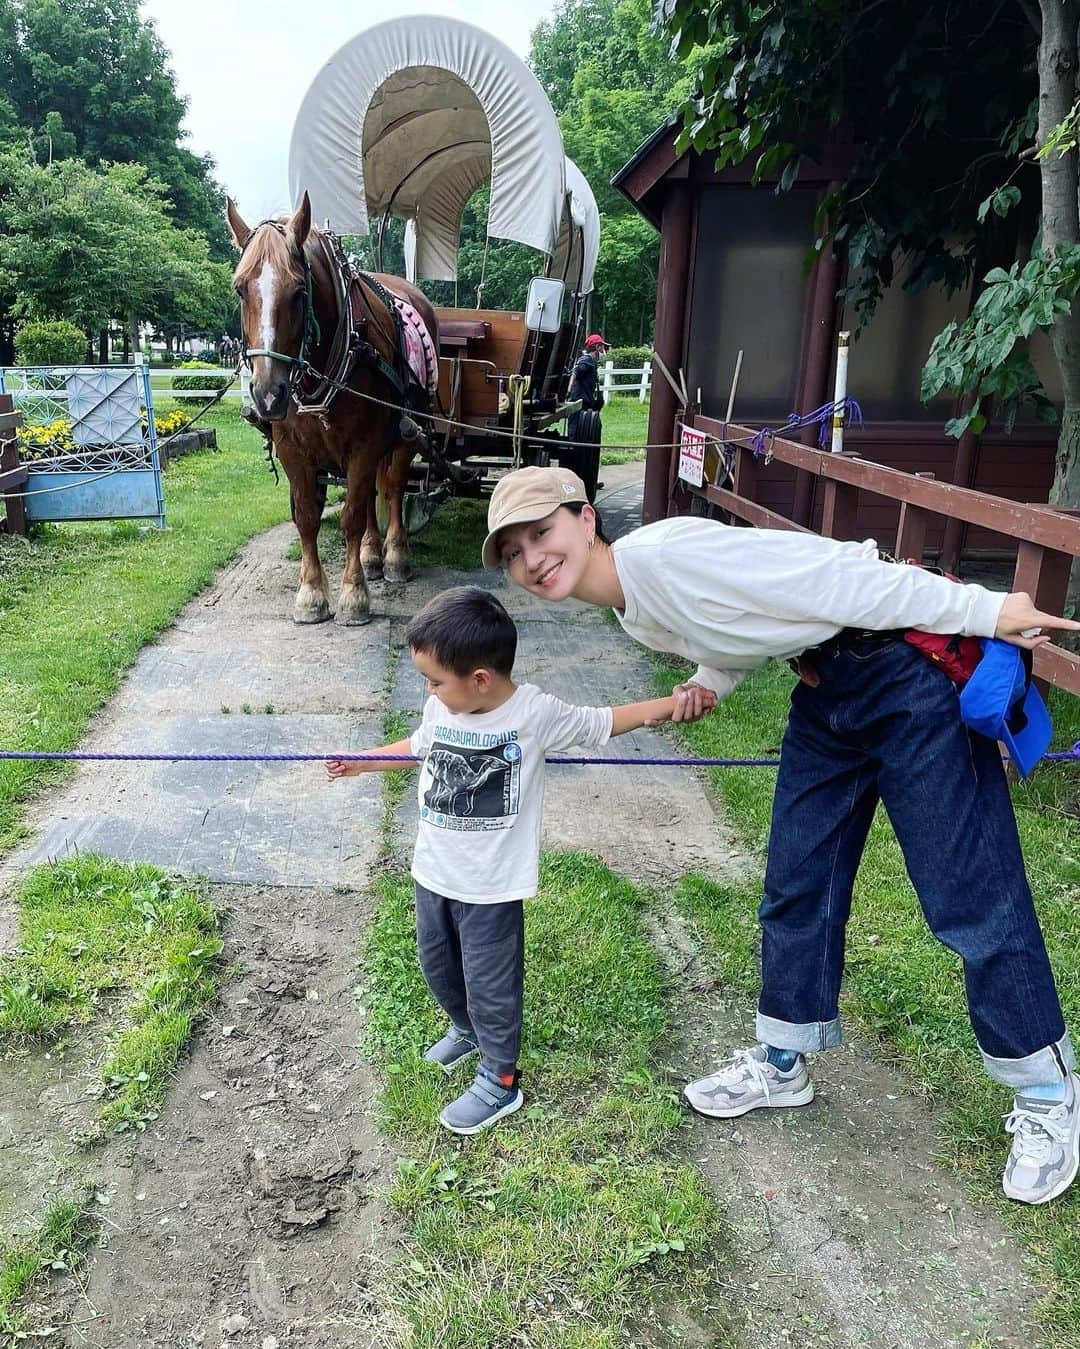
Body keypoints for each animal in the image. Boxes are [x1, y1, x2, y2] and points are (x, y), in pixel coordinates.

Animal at [225, 192, 436, 623]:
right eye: (240, 289)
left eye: (298, 292)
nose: (268, 394)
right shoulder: (292, 449)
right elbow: (307, 516)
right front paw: (311, 593)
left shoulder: (366, 444)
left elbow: (351, 516)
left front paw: (354, 594)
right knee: (372, 492)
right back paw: (372, 554)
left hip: (405, 433)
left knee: (392, 486)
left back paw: (394, 556)